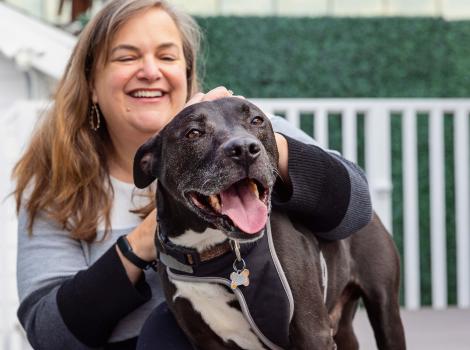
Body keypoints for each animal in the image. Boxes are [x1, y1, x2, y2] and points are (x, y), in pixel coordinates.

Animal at [134, 97, 406, 348]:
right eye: (193, 133)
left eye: (257, 120)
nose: (245, 148)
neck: (211, 252)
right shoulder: (204, 340)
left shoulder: (313, 333)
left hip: (385, 310)